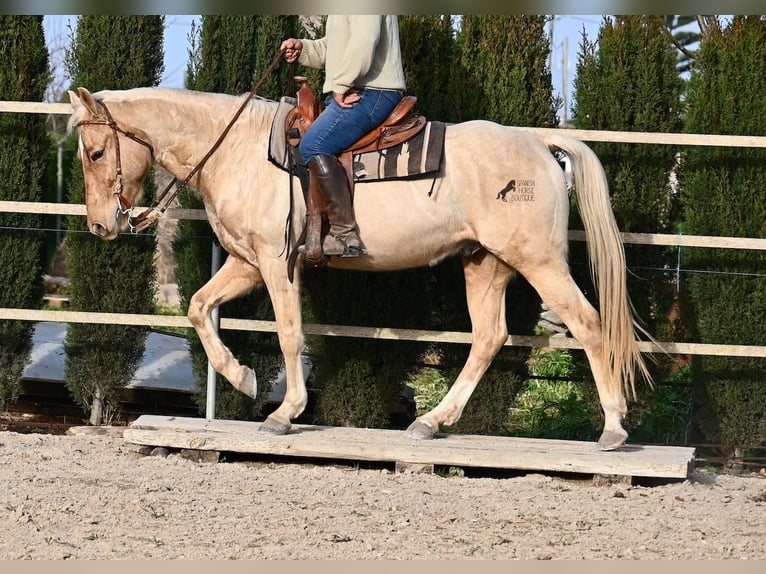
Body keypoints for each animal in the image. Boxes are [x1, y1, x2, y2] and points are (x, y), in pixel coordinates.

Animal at [67, 85, 652, 451]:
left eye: (94, 153)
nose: (100, 226)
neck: (240, 150)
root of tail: (537, 142)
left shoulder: (277, 264)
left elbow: (289, 334)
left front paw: (284, 412)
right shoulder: (246, 262)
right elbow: (197, 306)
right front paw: (243, 378)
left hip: (540, 260)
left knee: (589, 324)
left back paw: (614, 430)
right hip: (485, 263)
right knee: (489, 337)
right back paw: (431, 422)